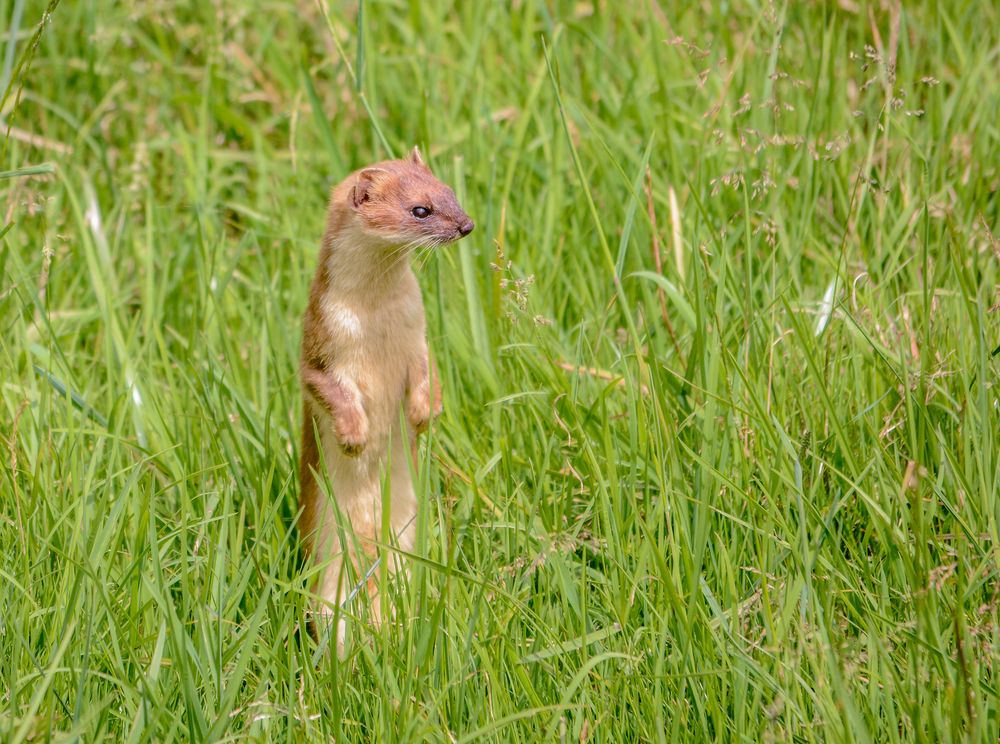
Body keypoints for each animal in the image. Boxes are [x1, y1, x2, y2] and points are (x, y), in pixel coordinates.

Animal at [296, 147, 472, 652]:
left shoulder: (418, 338)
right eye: (420, 210)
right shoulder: (318, 349)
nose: (467, 225)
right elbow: (328, 390)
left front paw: (423, 413)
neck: (376, 320)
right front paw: (355, 436)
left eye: (449, 192)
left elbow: (429, 375)